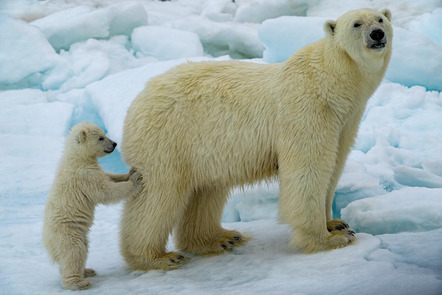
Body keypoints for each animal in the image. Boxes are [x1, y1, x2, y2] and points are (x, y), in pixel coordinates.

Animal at [42, 122, 141, 292]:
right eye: (101, 138)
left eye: (104, 134)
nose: (114, 144)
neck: (77, 158)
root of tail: (47, 243)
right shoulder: (85, 177)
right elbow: (105, 191)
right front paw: (135, 179)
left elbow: (109, 176)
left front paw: (129, 172)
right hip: (67, 232)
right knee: (74, 252)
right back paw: (78, 282)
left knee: (82, 249)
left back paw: (87, 270)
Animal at [121, 8, 394, 272]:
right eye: (356, 23)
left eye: (380, 19)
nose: (377, 34)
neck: (330, 83)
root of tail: (139, 98)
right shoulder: (307, 110)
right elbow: (308, 171)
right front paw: (330, 239)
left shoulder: (344, 122)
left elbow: (334, 166)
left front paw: (336, 223)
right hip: (168, 138)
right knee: (159, 195)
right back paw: (157, 258)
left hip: (202, 149)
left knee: (206, 191)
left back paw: (221, 238)